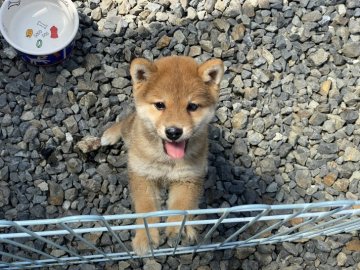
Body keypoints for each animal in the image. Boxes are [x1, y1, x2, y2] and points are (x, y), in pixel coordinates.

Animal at [101, 55, 224, 255]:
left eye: (192, 106)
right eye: (160, 105)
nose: (174, 132)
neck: (167, 161)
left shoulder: (187, 178)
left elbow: (181, 208)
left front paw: (179, 229)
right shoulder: (143, 175)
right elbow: (146, 210)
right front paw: (145, 238)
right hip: (129, 128)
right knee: (123, 122)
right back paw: (109, 135)